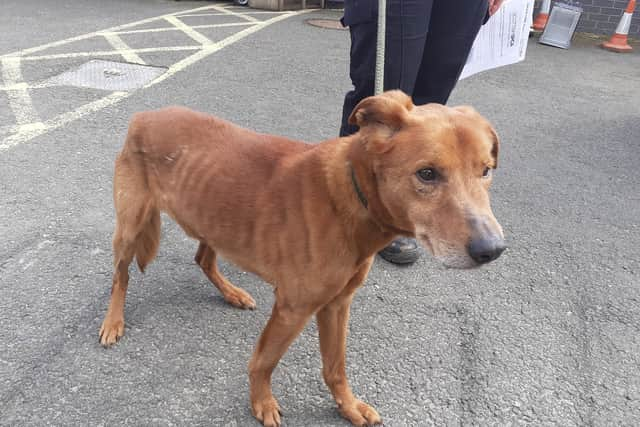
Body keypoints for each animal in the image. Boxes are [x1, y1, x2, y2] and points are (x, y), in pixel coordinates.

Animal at [99, 91, 504, 427]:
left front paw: (348, 407)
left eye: (485, 171)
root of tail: (145, 115)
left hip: (212, 216)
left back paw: (232, 293)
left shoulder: (337, 304)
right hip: (131, 226)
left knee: (203, 258)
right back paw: (113, 322)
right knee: (121, 276)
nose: (493, 250)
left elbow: (335, 367)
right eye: (427, 173)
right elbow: (263, 361)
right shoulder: (294, 308)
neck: (350, 195)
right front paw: (261, 403)